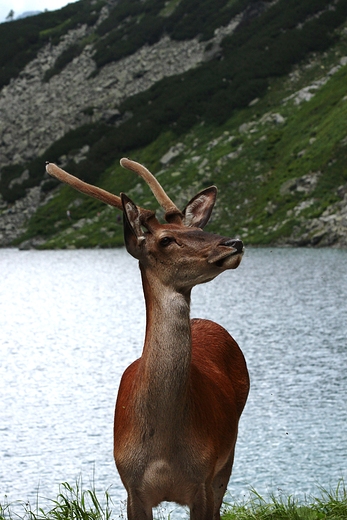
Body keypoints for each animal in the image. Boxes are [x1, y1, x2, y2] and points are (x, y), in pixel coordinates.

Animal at [46, 158, 250, 520]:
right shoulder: (132, 488)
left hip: (228, 456)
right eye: (167, 240)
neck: (164, 453)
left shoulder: (204, 479)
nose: (234, 242)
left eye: (198, 230)